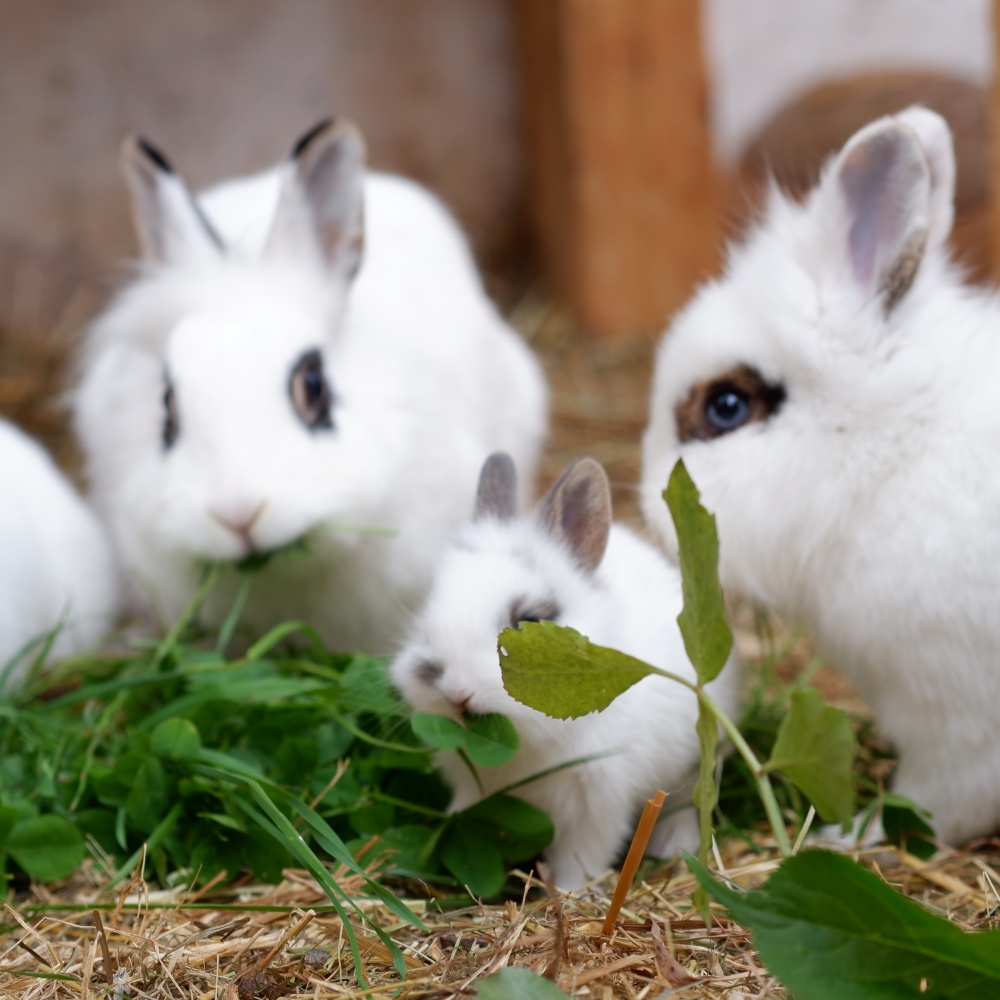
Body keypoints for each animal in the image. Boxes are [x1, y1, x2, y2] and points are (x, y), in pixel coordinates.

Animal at [391, 452, 740, 890]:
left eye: (527, 620)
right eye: (428, 606)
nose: (456, 692)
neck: (528, 746)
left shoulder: (597, 800)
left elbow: (583, 855)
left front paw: (570, 893)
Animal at [641, 105, 1000, 847]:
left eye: (725, 406)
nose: (641, 496)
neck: (892, 449)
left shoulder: (957, 719)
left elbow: (940, 799)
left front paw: (854, 834)